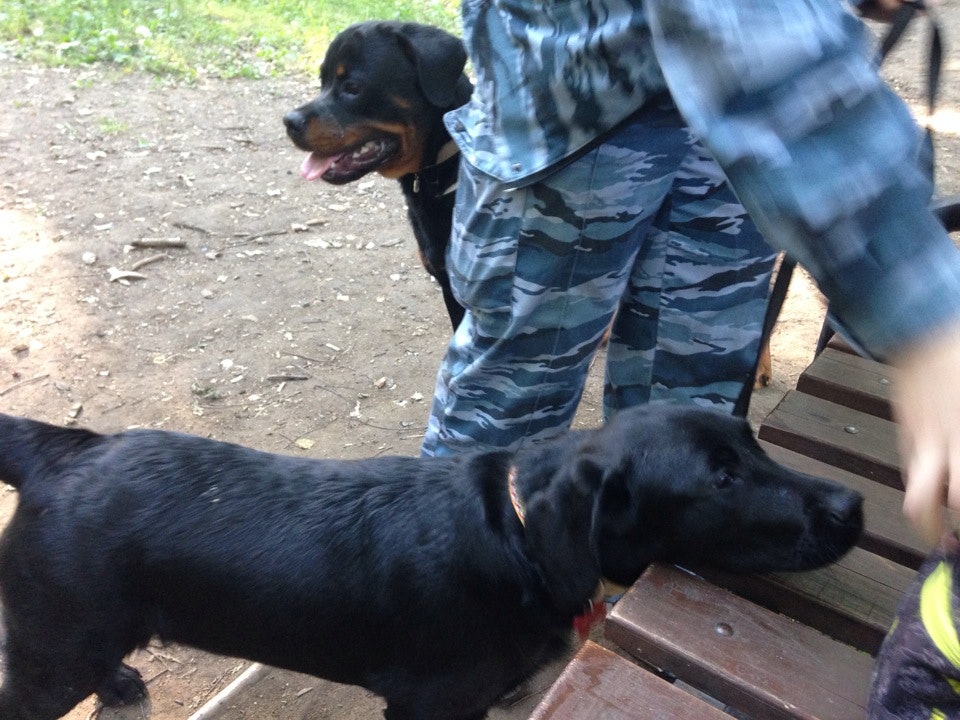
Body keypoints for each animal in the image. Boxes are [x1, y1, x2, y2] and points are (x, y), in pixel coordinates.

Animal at [0, 404, 861, 720]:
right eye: (720, 479)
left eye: (751, 441)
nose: (853, 505)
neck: (516, 537)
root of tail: (59, 450)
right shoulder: (429, 707)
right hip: (49, 655)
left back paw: (122, 684)